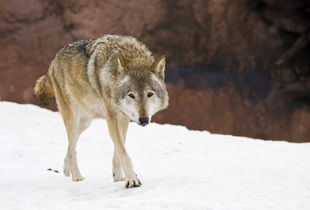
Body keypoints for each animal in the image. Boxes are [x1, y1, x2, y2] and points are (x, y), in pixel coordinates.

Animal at [33, 34, 168, 189]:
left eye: (150, 94)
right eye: (131, 95)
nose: (144, 120)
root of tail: (54, 60)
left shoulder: (123, 118)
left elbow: (118, 152)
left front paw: (119, 178)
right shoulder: (112, 118)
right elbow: (123, 152)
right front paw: (132, 180)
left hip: (86, 122)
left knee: (70, 145)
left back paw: (67, 170)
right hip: (73, 118)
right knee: (72, 146)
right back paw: (77, 177)